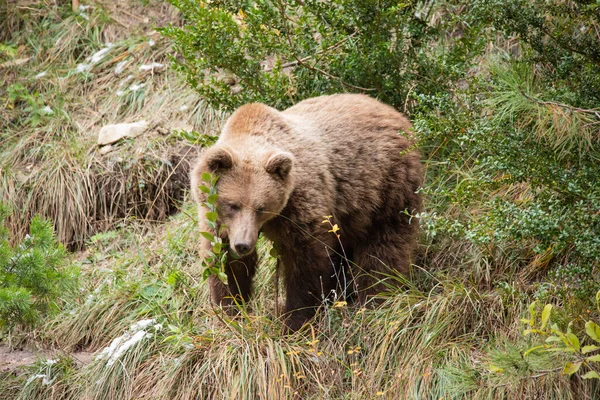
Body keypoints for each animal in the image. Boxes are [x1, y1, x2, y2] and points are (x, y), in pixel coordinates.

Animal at [191, 93, 422, 332]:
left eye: (261, 207)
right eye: (233, 205)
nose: (243, 245)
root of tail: (394, 113)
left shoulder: (302, 202)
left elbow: (306, 261)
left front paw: (294, 321)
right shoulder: (215, 219)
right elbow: (225, 262)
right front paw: (230, 311)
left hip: (386, 187)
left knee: (385, 246)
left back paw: (375, 298)